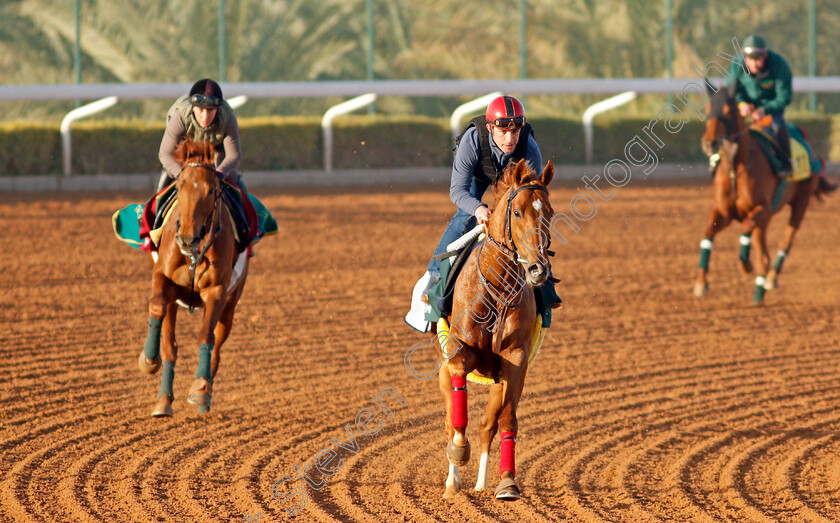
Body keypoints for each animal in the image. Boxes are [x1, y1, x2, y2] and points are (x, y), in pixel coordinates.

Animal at [138, 138, 248, 418]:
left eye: (211, 191)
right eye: (180, 186)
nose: (187, 238)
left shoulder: (217, 291)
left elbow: (206, 336)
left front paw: (199, 389)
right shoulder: (163, 278)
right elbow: (157, 309)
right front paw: (148, 360)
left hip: (231, 303)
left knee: (217, 347)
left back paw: (204, 397)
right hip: (175, 302)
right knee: (171, 346)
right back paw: (163, 401)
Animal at [436, 159, 556, 500]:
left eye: (549, 212)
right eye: (516, 212)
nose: (538, 269)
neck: (497, 289)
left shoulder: (515, 360)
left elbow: (506, 419)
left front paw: (507, 481)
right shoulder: (459, 354)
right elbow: (458, 413)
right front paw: (459, 451)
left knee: (488, 425)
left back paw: (480, 482)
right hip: (443, 367)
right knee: (450, 418)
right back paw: (453, 481)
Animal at [692, 81, 832, 302]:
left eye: (728, 111)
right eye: (707, 109)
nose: (709, 143)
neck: (735, 170)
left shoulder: (762, 209)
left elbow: (746, 228)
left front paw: (745, 265)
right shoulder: (724, 212)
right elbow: (708, 233)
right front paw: (700, 283)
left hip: (801, 202)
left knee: (786, 240)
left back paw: (770, 278)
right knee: (764, 253)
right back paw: (759, 290)